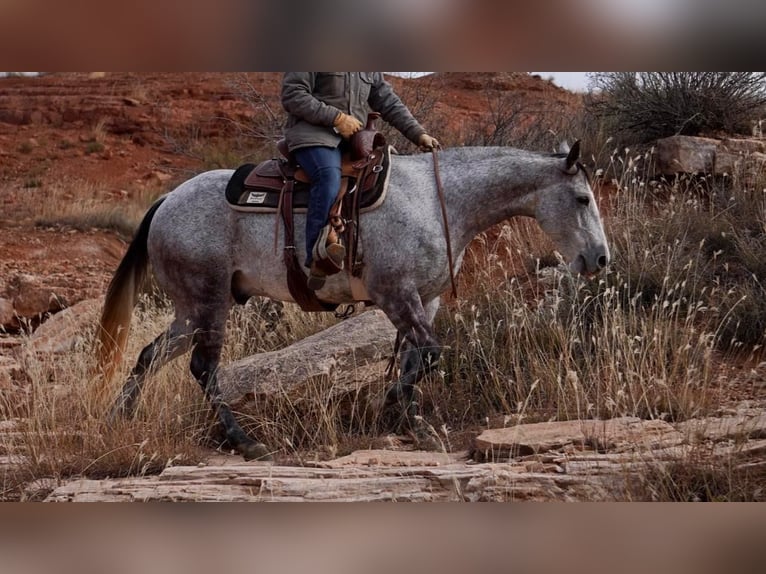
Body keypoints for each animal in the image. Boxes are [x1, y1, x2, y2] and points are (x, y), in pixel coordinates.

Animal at [97, 144, 612, 464]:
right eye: (582, 198)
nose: (601, 259)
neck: (439, 202)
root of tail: (167, 200)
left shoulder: (425, 301)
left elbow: (414, 358)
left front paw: (408, 420)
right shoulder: (395, 294)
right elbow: (429, 353)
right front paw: (402, 414)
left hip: (191, 311)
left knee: (149, 356)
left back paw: (118, 420)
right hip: (209, 303)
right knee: (204, 369)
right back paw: (246, 443)